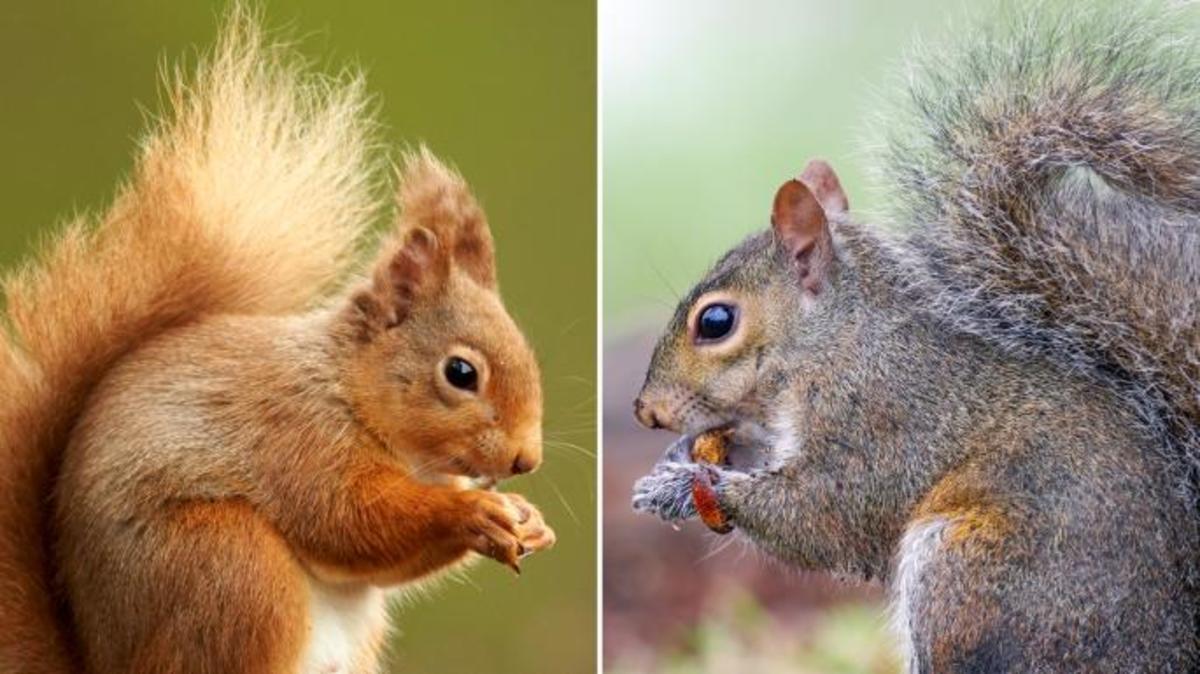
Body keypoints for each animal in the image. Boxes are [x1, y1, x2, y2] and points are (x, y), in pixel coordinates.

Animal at [0, 9, 554, 674]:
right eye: (461, 373)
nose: (526, 460)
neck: (345, 387)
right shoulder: (298, 441)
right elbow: (351, 520)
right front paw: (473, 512)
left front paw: (529, 521)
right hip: (230, 565)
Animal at [632, 2, 1200, 672]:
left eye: (715, 322)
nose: (645, 411)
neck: (839, 344)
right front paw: (676, 461)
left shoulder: (878, 424)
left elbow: (825, 516)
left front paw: (680, 487)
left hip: (966, 574)